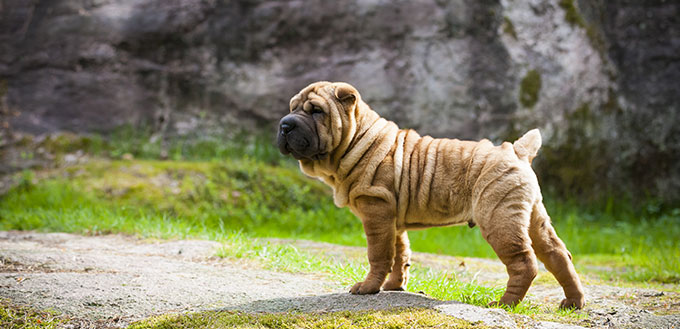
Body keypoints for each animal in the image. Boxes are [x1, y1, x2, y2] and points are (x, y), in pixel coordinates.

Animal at [276, 80, 584, 308]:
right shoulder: (392, 217)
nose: (285, 124)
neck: (357, 140)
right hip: (533, 216)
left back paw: (504, 303)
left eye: (316, 111)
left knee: (524, 262)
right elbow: (400, 253)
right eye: (292, 108)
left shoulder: (376, 209)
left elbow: (378, 254)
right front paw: (394, 286)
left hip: (499, 218)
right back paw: (573, 302)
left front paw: (368, 288)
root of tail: (517, 150)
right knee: (558, 255)